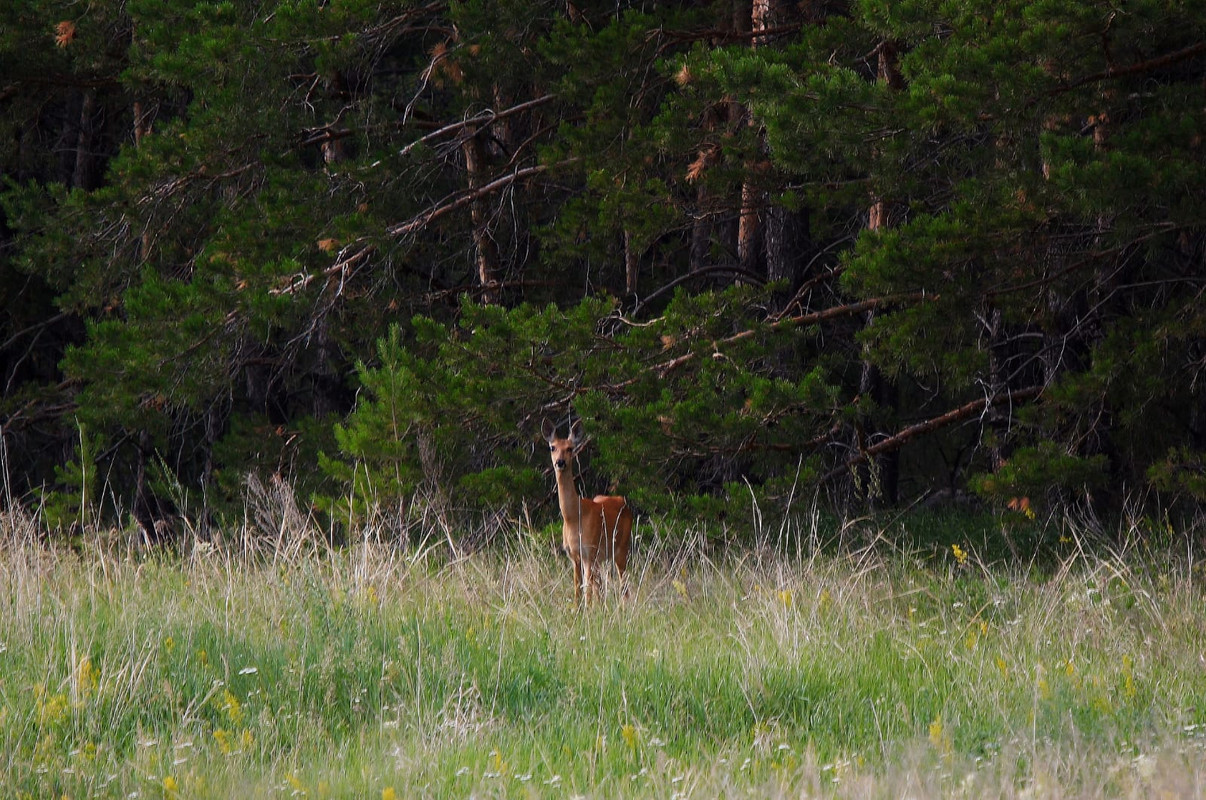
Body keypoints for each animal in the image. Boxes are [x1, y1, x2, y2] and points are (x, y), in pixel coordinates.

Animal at [542, 419, 636, 608]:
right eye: (552, 447)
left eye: (570, 448)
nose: (560, 462)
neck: (573, 517)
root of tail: (623, 501)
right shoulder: (574, 555)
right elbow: (578, 588)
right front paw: (577, 610)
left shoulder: (588, 551)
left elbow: (587, 590)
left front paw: (587, 611)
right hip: (601, 558)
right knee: (600, 587)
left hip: (621, 547)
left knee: (623, 585)